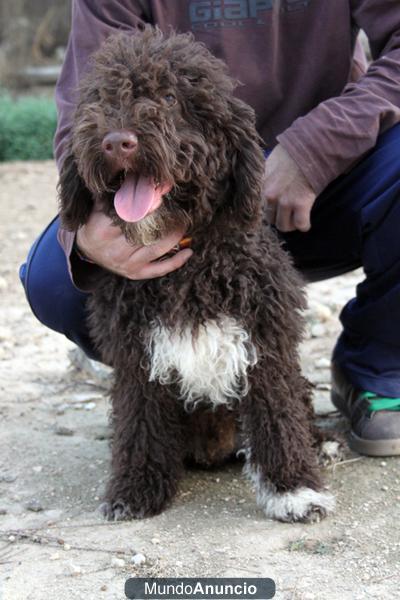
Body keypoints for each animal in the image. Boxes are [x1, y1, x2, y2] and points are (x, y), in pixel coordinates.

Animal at [58, 25, 334, 524]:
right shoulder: (137, 358)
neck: (189, 261)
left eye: (170, 98)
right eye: (102, 98)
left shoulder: (264, 343)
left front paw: (294, 489)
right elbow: (139, 428)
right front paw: (135, 489)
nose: (116, 141)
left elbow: (279, 417)